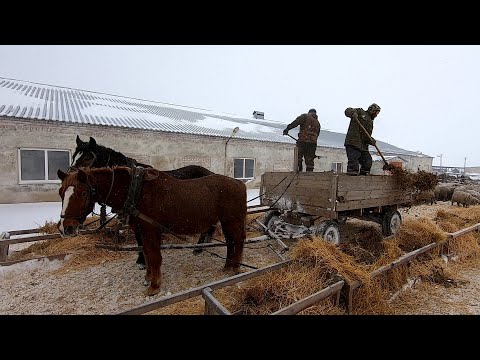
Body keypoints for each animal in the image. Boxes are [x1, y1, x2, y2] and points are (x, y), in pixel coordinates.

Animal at [57, 166, 248, 296]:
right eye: (61, 192)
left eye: (82, 193)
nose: (65, 228)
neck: (137, 192)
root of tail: (239, 183)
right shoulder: (141, 231)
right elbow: (147, 254)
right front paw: (148, 277)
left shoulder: (150, 230)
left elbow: (154, 257)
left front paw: (154, 286)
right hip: (226, 221)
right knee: (230, 242)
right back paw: (227, 266)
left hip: (233, 221)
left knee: (238, 241)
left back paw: (234, 268)